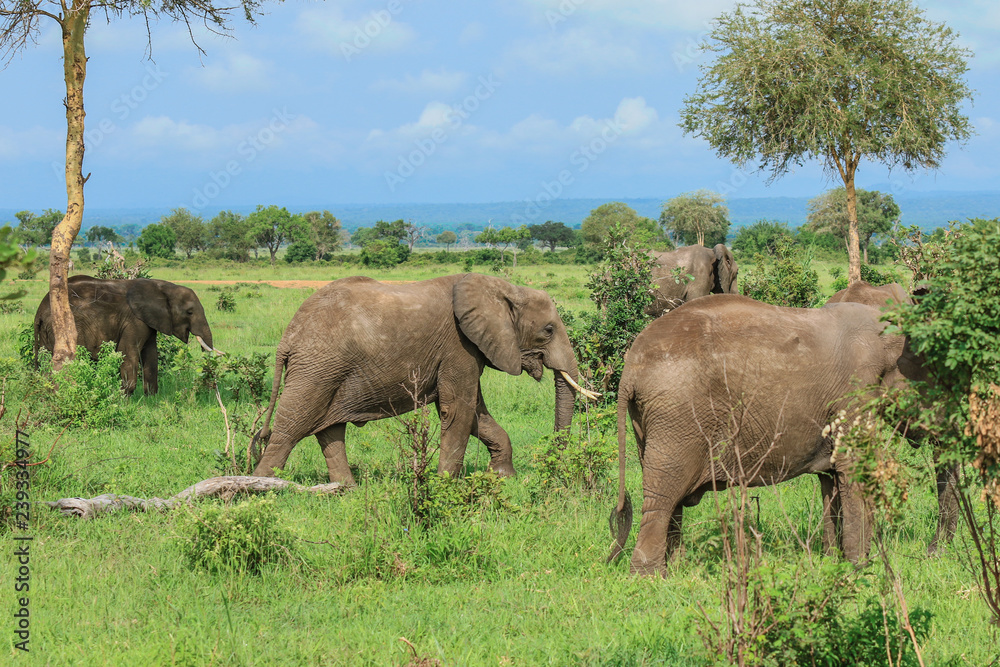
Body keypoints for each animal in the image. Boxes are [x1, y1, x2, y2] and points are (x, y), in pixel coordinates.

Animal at [33, 275, 217, 395]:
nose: (208, 390)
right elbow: (128, 354)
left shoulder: (148, 321)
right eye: (189, 312)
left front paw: (151, 398)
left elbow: (151, 355)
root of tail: (40, 311)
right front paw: (125, 399)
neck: (162, 287)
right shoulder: (134, 320)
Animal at [251, 273, 595, 485]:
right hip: (317, 368)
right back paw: (263, 488)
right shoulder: (459, 346)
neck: (504, 289)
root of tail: (287, 338)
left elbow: (476, 415)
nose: (548, 467)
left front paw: (502, 477)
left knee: (329, 430)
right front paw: (446, 484)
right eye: (548, 330)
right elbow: (458, 410)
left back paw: (347, 491)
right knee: (290, 429)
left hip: (328, 370)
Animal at [608, 294, 920, 576]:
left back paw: (674, 568)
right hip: (677, 415)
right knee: (664, 495)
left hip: (650, 420)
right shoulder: (857, 387)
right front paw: (860, 568)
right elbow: (853, 467)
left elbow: (831, 478)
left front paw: (834, 561)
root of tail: (631, 368)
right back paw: (649, 577)